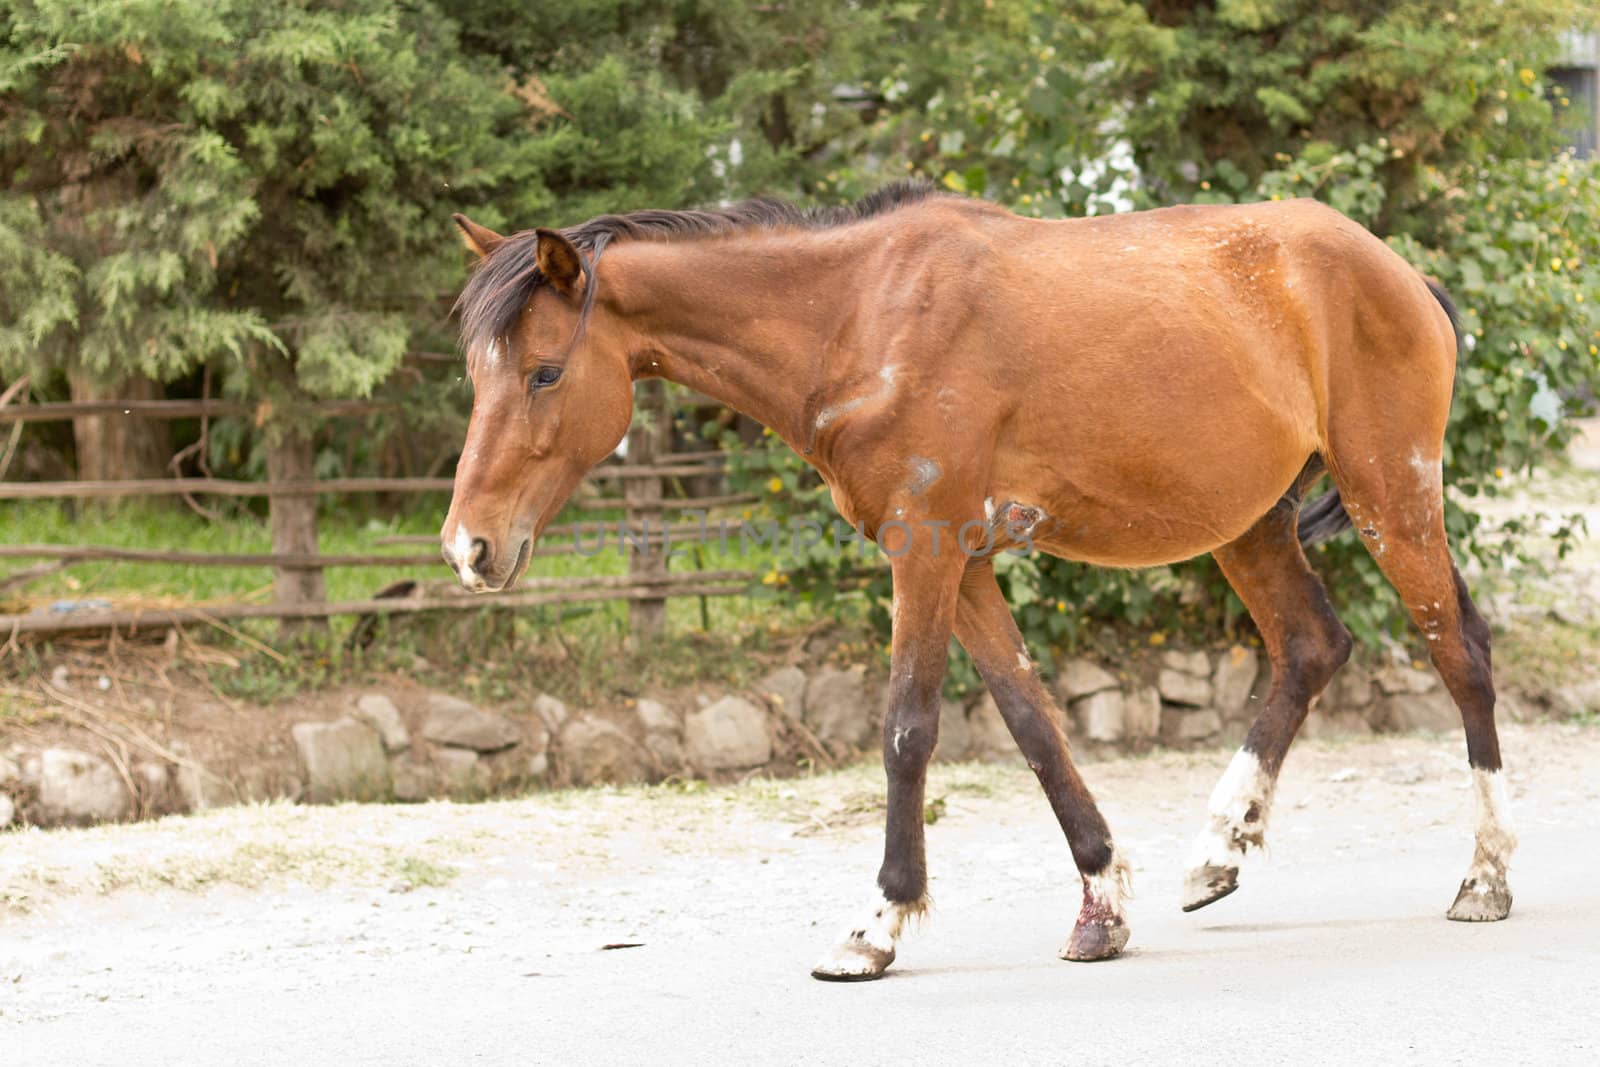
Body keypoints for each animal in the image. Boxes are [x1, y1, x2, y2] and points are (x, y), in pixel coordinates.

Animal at [444, 179, 1516, 979]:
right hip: (1251, 524)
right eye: (477, 374)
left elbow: (908, 729)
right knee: (1310, 646)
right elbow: (1032, 723)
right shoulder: (961, 569)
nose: (467, 549)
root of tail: (1394, 268)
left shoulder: (924, 551)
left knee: (1458, 652)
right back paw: (1219, 850)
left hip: (1392, 492)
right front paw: (1099, 906)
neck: (856, 316)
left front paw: (877, 922)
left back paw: (1484, 879)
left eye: (544, 373)